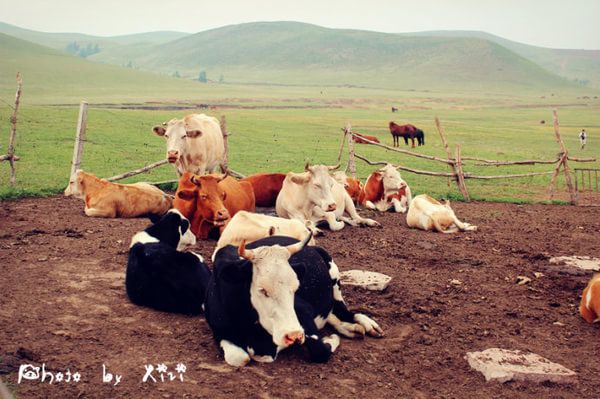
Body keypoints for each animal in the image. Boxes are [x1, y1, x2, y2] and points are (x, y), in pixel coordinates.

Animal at [206, 234, 384, 368]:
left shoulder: (303, 312)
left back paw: (365, 324)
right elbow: (240, 358)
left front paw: (329, 339)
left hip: (335, 278)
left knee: (343, 310)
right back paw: (350, 328)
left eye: (295, 287)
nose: (293, 335)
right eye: (262, 289)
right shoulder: (219, 330)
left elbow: (321, 350)